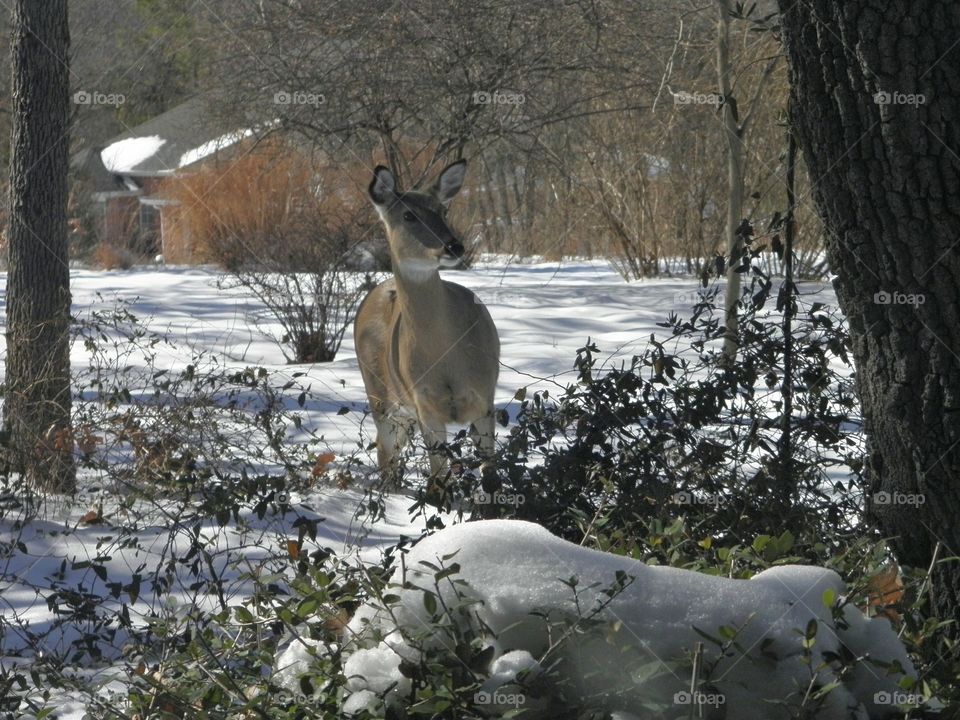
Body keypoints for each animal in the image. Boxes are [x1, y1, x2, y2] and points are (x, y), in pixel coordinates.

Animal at [354, 161, 502, 492]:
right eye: (409, 215)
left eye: (443, 210)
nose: (454, 246)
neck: (447, 357)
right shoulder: (426, 405)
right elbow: (438, 480)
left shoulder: (485, 397)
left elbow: (491, 475)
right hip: (378, 395)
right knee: (385, 451)